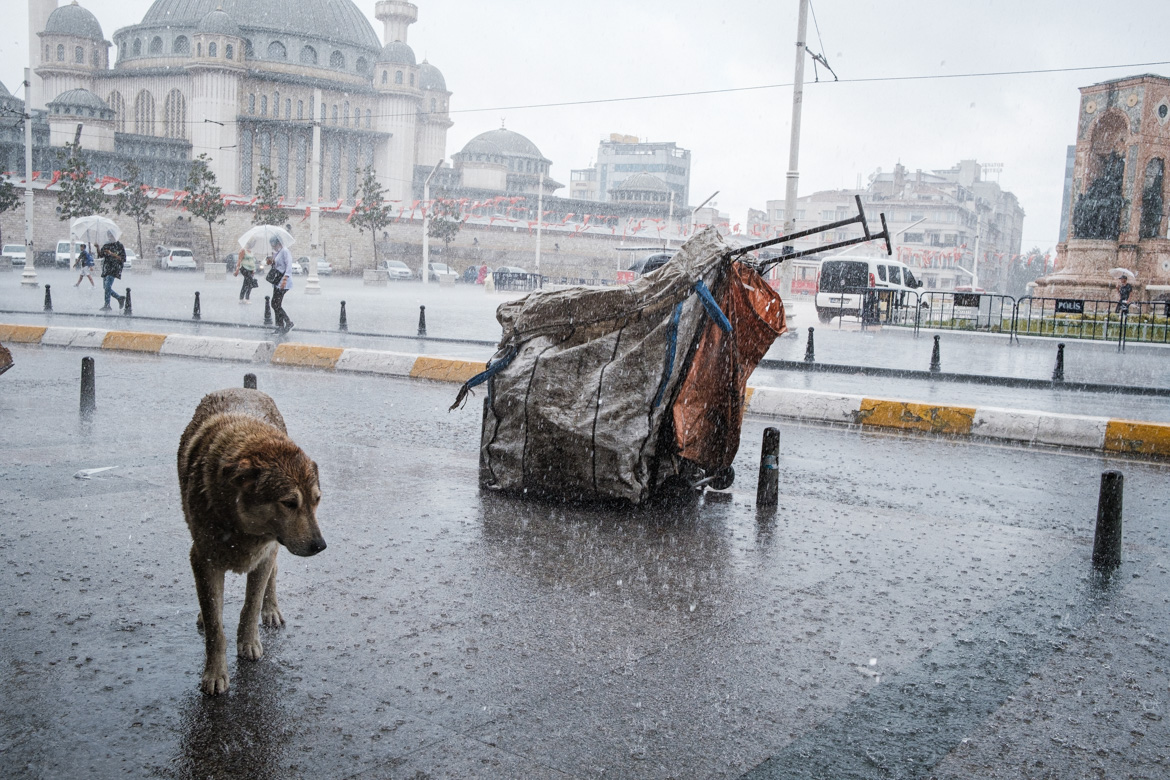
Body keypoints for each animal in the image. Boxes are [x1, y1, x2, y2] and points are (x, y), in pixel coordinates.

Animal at [173, 390, 322, 696]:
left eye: (317, 501)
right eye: (290, 503)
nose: (320, 545)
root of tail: (245, 389)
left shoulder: (265, 554)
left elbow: (251, 604)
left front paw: (250, 641)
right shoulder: (203, 560)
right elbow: (215, 627)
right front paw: (215, 673)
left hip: (275, 550)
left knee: (272, 578)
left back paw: (271, 609)